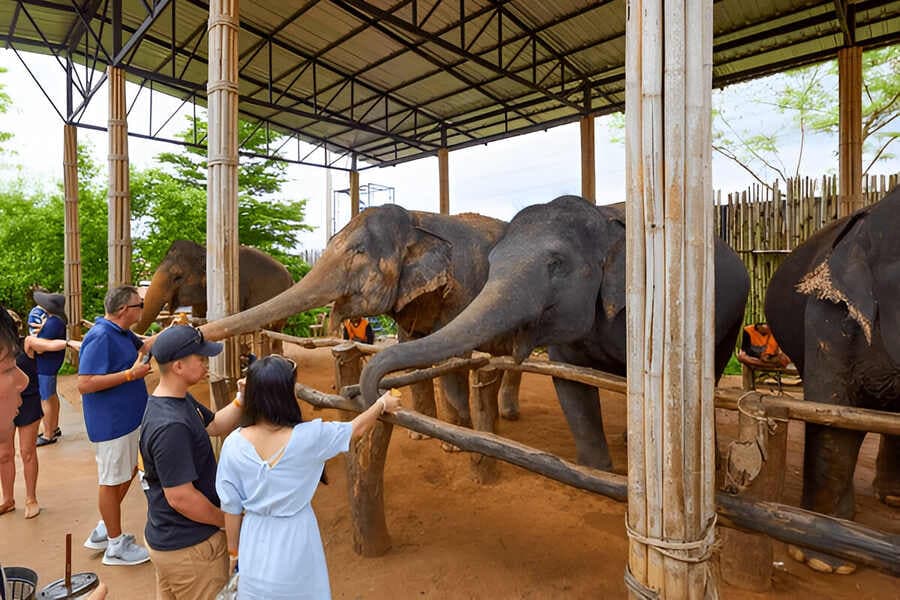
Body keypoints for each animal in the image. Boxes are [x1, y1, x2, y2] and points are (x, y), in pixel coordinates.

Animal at [199, 204, 522, 426]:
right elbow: (411, 350)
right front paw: (419, 432)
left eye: (358, 252)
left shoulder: (461, 290)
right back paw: (505, 415)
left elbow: (453, 362)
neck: (417, 218)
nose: (195, 331)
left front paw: (453, 442)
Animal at [361, 195, 750, 471]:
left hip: (732, 315)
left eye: (556, 264)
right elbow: (570, 383)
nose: (381, 397)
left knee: (711, 372)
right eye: (492, 262)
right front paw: (597, 472)